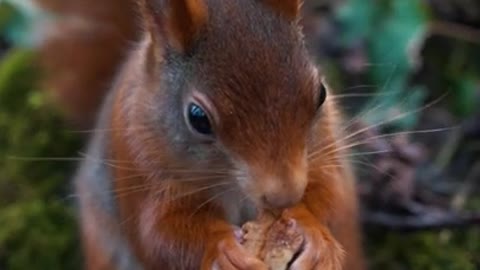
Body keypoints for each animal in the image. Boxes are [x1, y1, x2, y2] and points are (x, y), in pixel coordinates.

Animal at [39, 0, 366, 270]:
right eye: (198, 118)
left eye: (321, 92)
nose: (285, 195)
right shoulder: (138, 163)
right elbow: (158, 234)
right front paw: (222, 249)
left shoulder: (323, 152)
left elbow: (333, 193)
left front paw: (310, 229)